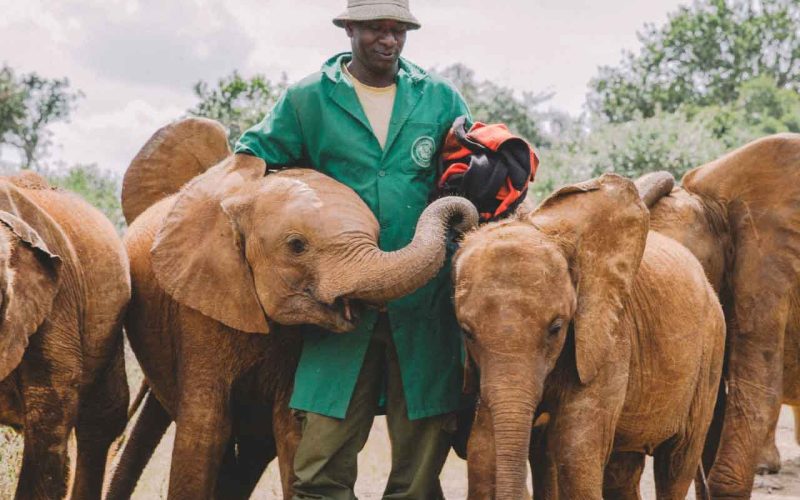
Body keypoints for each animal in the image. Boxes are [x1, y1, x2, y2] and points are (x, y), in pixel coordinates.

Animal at [456, 173, 724, 500]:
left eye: (557, 328)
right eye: (467, 333)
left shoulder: (608, 335)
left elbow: (575, 452)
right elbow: (482, 449)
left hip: (711, 350)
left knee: (676, 461)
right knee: (622, 470)